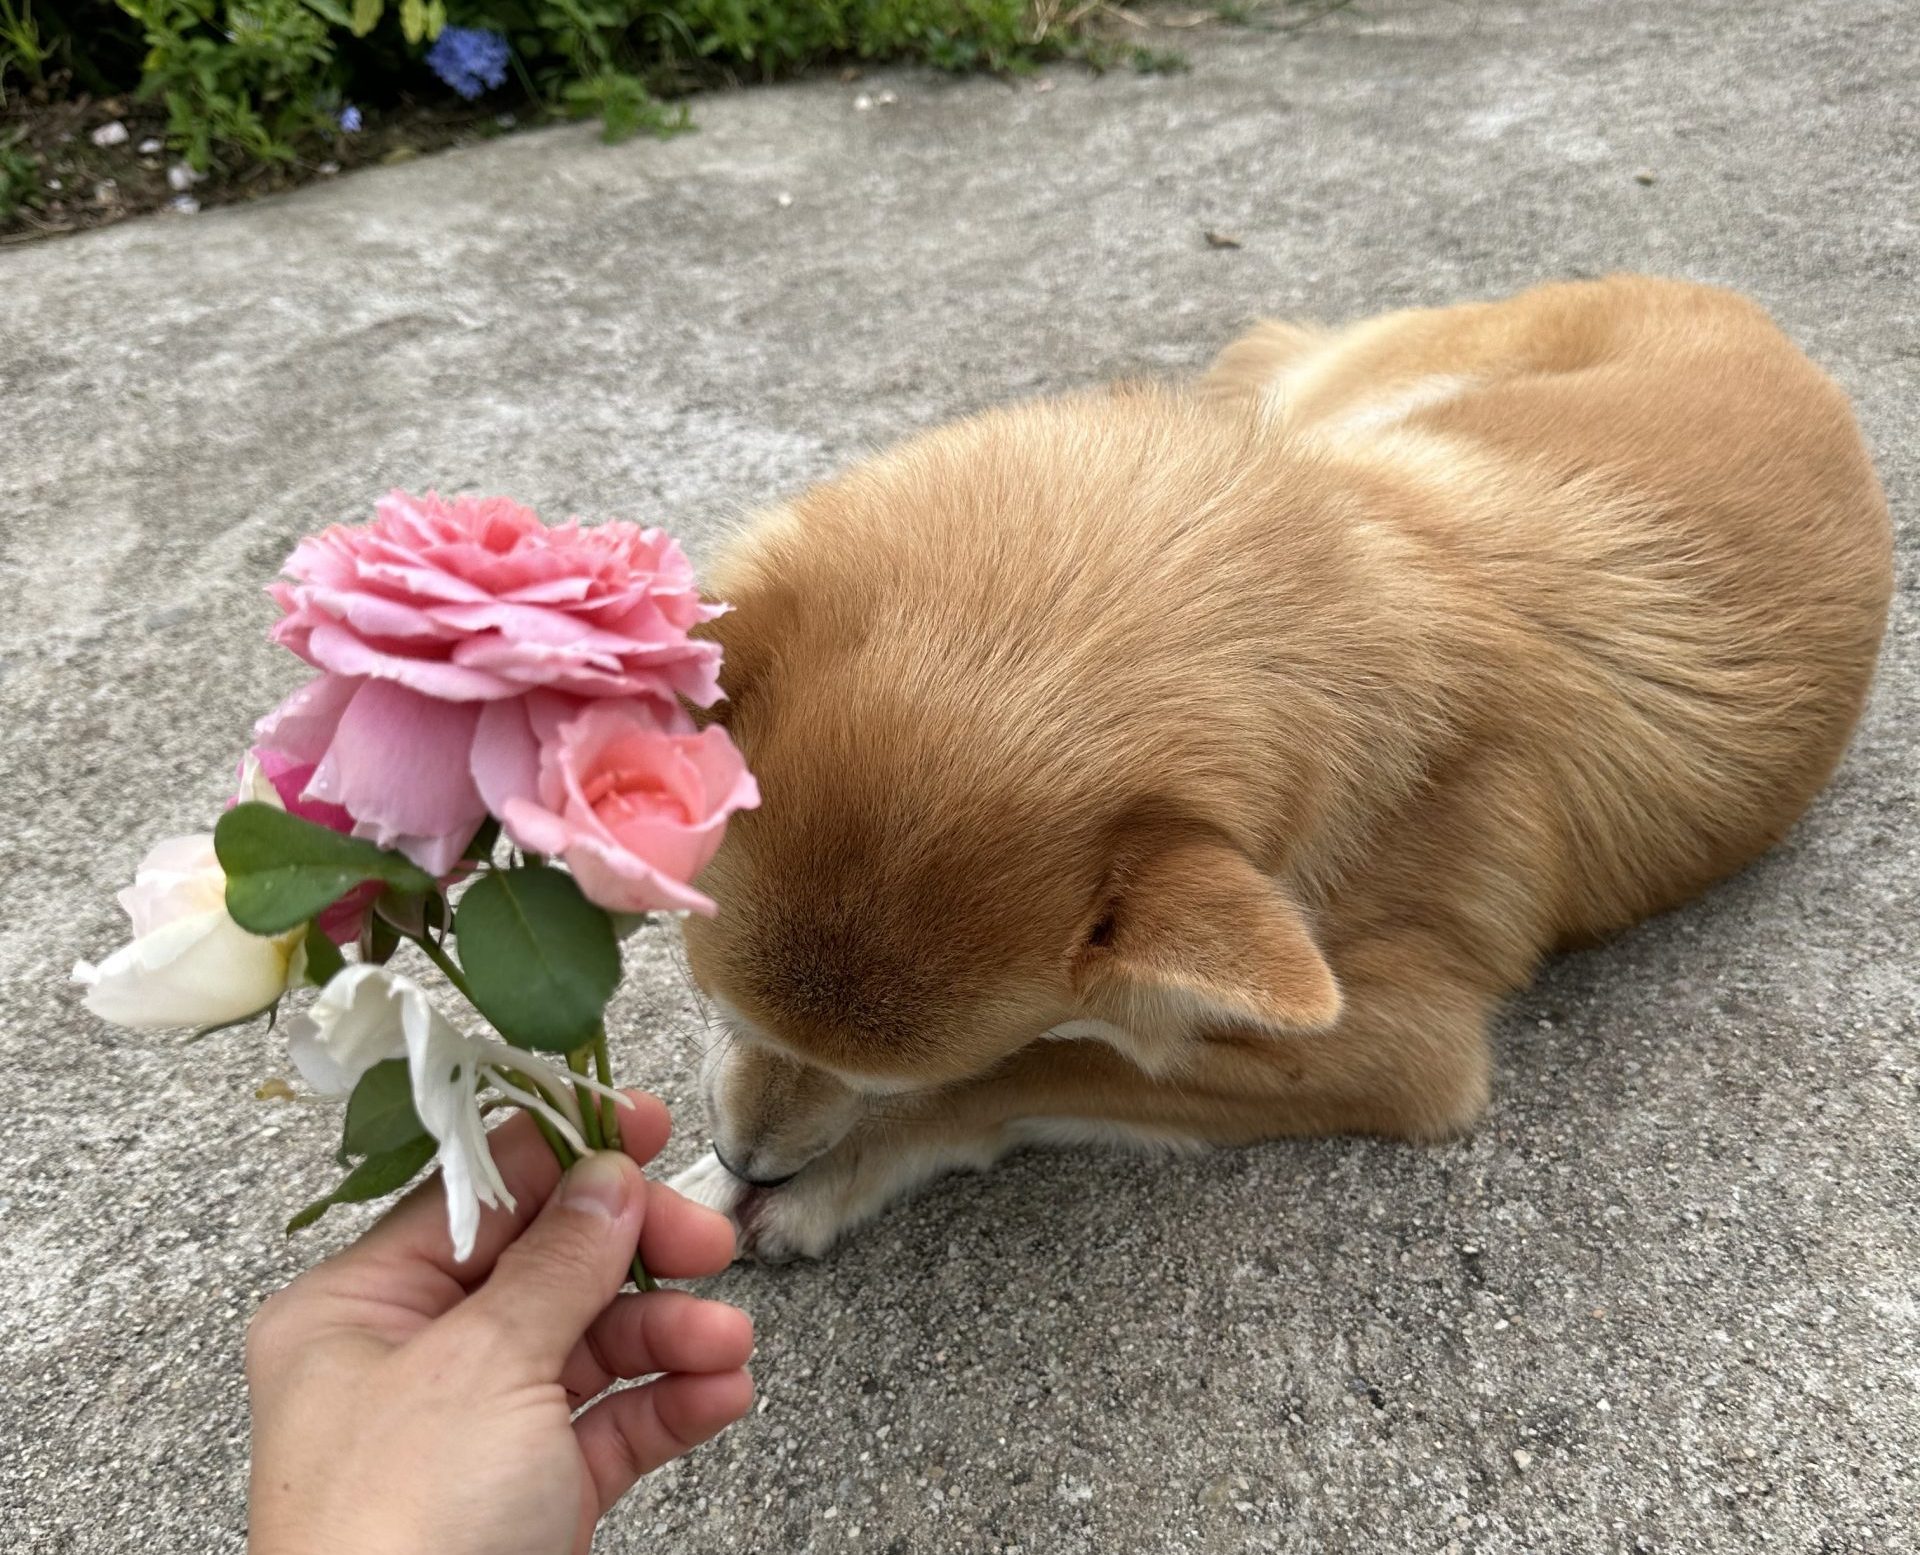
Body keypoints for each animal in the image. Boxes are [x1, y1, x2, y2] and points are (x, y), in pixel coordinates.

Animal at [668, 272, 1896, 1251]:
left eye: (896, 1076)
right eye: (715, 1004)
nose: (747, 1160)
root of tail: (1726, 298)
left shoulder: (1404, 1046)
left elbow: (1052, 1064)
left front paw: (832, 1173)